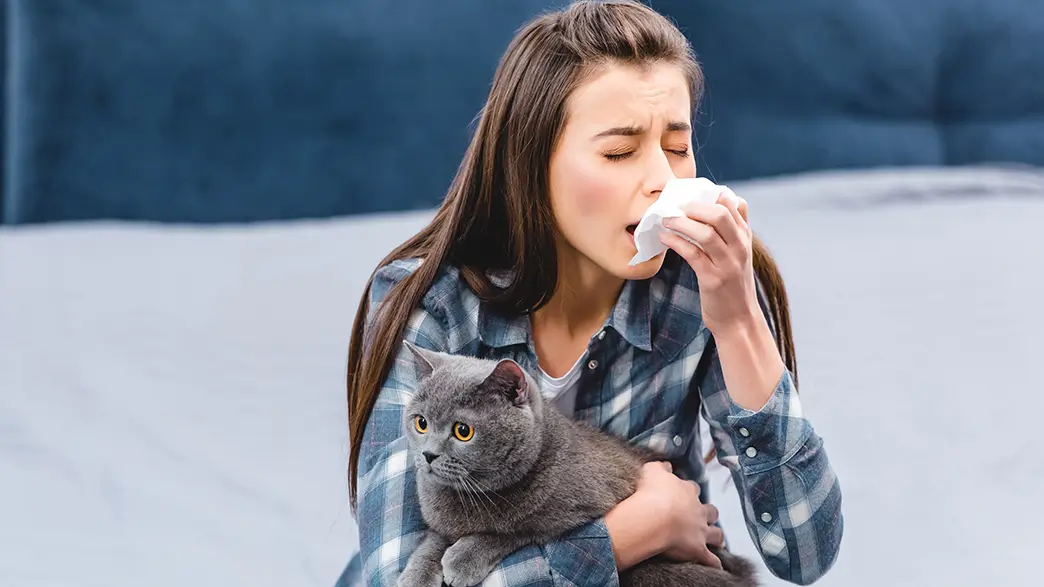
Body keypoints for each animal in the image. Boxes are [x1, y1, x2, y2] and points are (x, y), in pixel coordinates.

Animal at [394, 340, 755, 584]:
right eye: (421, 423)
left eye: (463, 431)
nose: (428, 454)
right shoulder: (439, 523)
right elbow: (430, 540)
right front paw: (416, 575)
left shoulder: (581, 509)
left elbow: (519, 531)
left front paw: (462, 558)